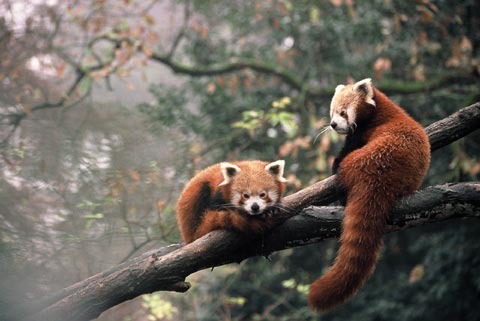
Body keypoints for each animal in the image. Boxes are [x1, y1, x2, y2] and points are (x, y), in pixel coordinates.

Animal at [308, 77, 432, 310]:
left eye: (343, 112)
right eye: (332, 112)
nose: (333, 125)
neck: (381, 109)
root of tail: (378, 178)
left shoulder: (361, 133)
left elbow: (345, 151)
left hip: (361, 159)